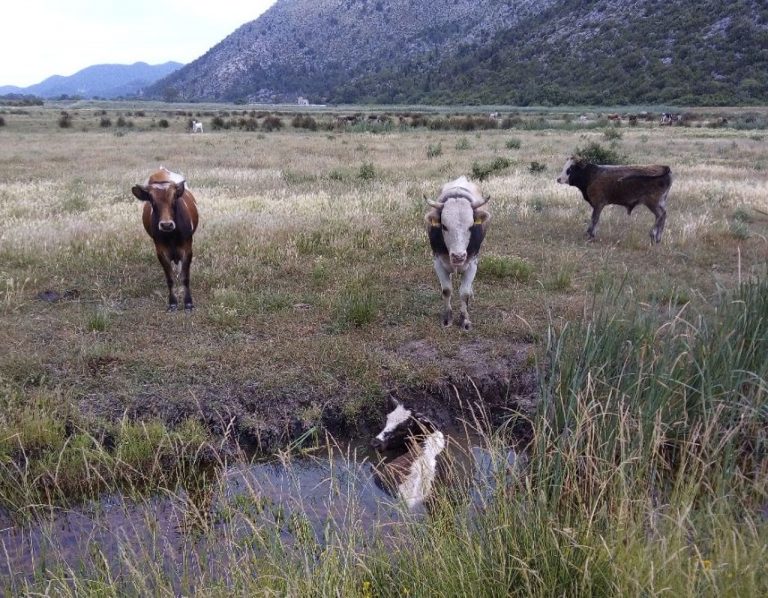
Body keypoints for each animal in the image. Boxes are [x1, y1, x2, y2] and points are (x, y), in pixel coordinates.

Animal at [132, 166, 200, 312]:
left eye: (174, 198)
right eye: (152, 200)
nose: (166, 224)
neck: (171, 236)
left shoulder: (188, 248)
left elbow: (185, 277)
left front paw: (188, 303)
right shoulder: (160, 251)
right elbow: (169, 279)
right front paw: (172, 303)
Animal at [426, 176, 492, 332]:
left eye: (471, 226)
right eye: (444, 226)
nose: (458, 256)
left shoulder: (473, 263)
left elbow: (464, 293)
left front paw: (465, 320)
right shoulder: (438, 262)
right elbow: (446, 290)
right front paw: (447, 319)